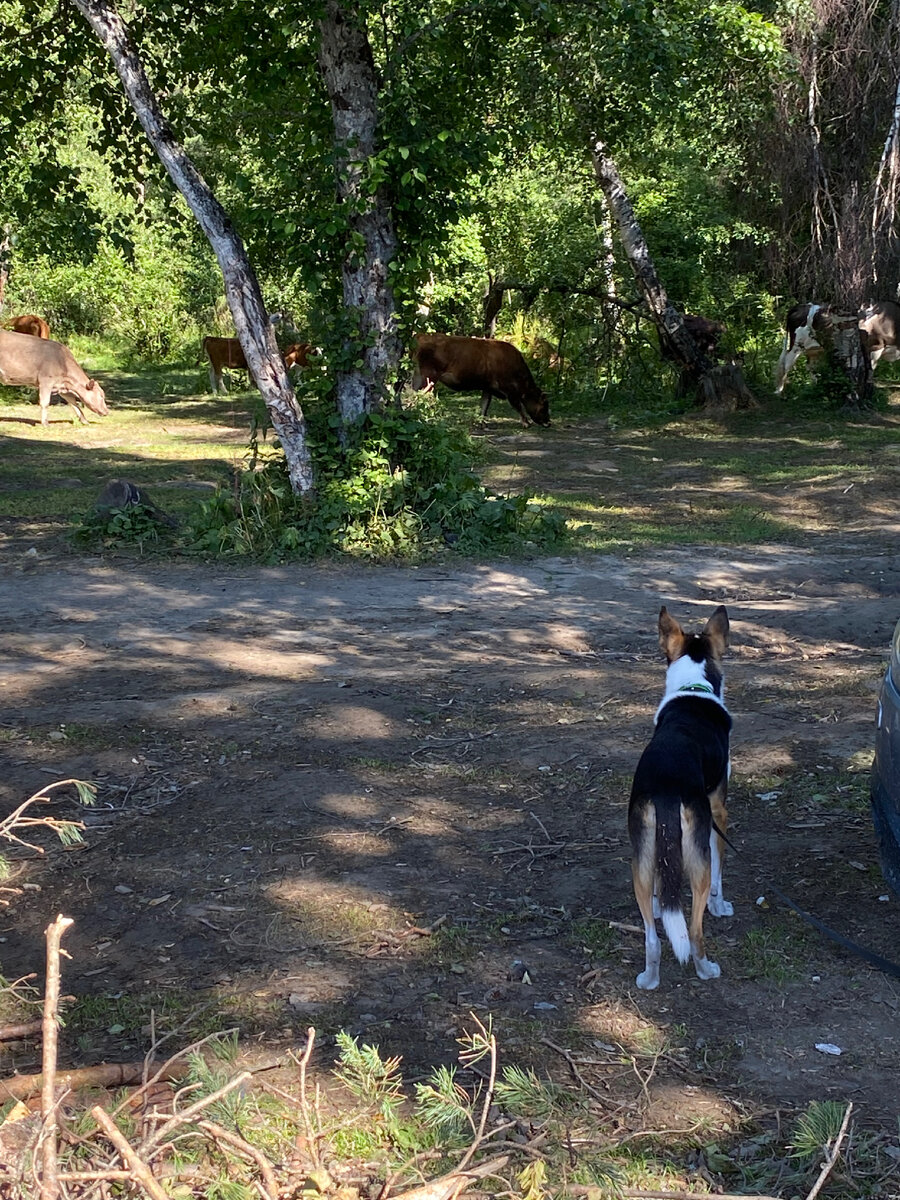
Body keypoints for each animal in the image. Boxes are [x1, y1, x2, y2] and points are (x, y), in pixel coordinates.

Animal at [410, 336, 549, 429]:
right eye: (544, 405)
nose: (548, 422)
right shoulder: (509, 390)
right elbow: (518, 406)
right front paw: (526, 423)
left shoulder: (488, 388)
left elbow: (484, 405)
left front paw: (481, 423)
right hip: (429, 377)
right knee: (420, 395)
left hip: (419, 376)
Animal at [628, 604, 734, 988]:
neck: (693, 689)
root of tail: (667, 786)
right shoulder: (718, 813)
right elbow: (720, 873)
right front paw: (720, 906)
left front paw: (663, 906)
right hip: (697, 857)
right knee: (694, 930)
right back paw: (706, 968)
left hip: (640, 857)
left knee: (653, 937)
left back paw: (650, 976)